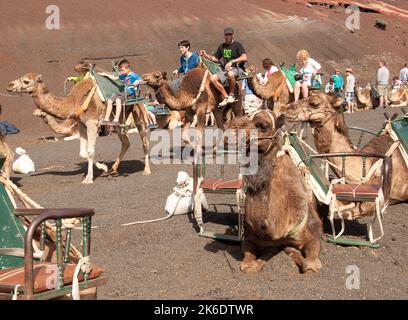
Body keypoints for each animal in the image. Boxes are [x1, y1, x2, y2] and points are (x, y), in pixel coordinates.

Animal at [6, 72, 151, 182]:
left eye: (26, 81)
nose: (9, 85)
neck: (73, 102)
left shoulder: (92, 123)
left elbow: (90, 152)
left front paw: (88, 178)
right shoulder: (81, 125)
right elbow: (82, 152)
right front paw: (103, 167)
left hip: (138, 111)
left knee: (144, 142)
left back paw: (146, 170)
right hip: (118, 122)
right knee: (126, 142)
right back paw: (112, 170)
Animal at [230, 111, 322, 274]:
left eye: (262, 125)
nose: (232, 130)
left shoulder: (311, 235)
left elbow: (309, 262)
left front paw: (312, 265)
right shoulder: (251, 238)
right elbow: (248, 257)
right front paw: (251, 265)